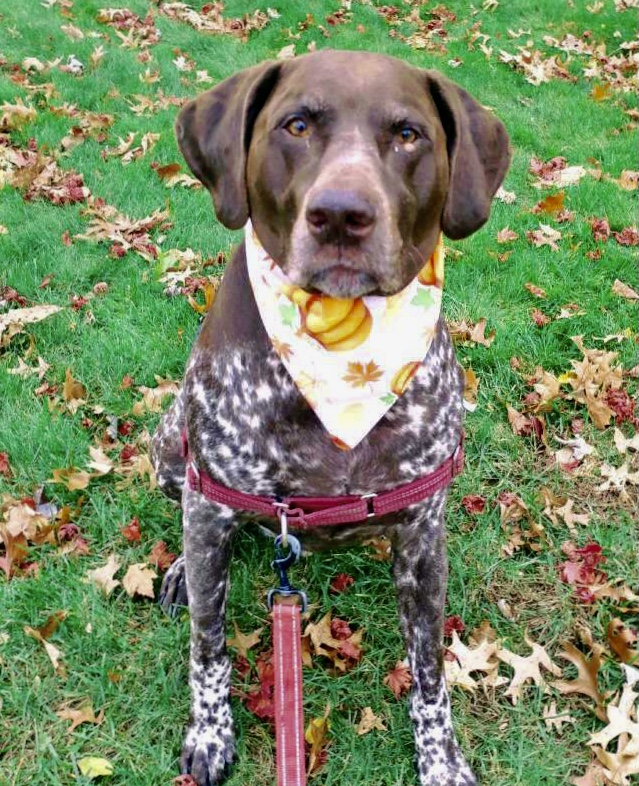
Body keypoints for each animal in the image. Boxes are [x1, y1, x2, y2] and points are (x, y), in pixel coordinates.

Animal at [150, 49, 510, 784]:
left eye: (408, 135)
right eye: (296, 125)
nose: (341, 215)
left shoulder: (423, 535)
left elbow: (430, 672)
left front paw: (440, 758)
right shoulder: (211, 504)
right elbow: (208, 645)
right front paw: (210, 733)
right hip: (168, 448)